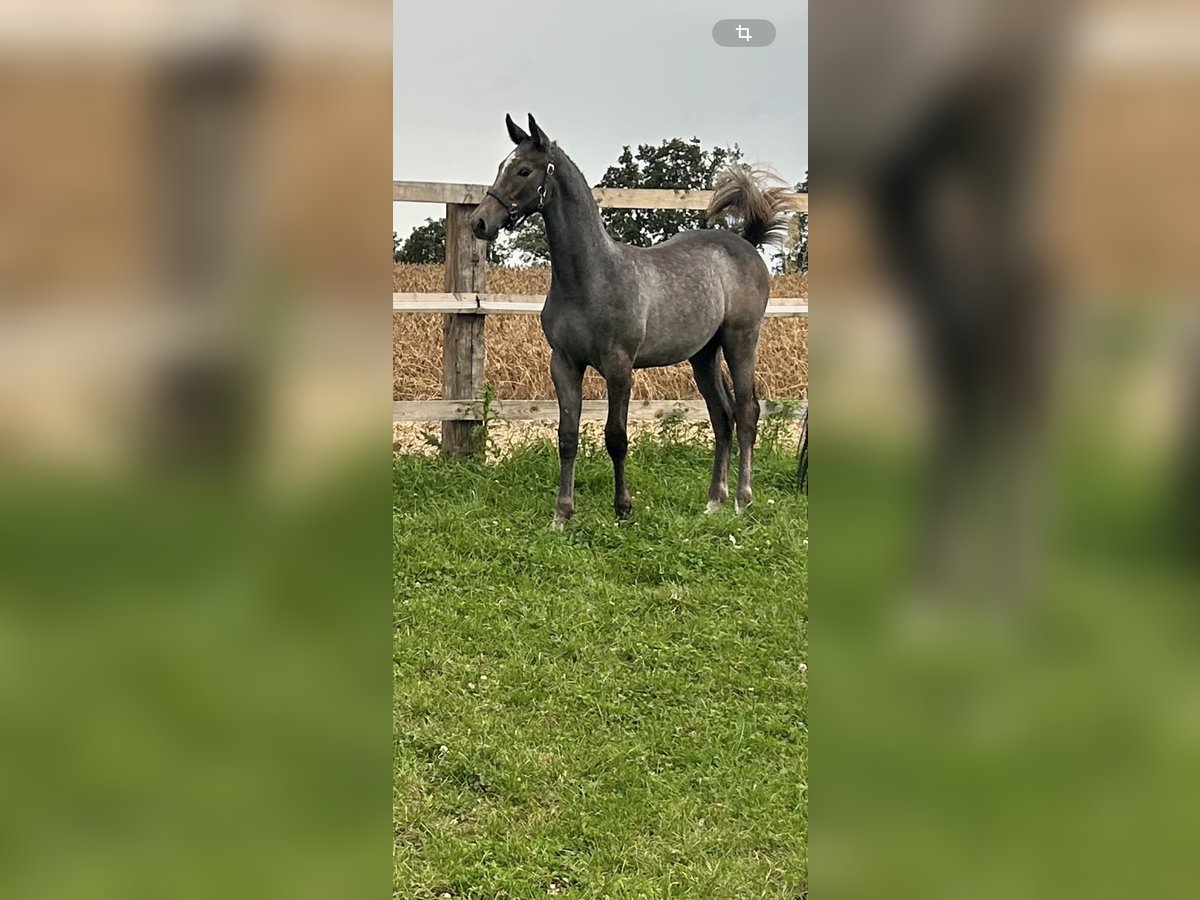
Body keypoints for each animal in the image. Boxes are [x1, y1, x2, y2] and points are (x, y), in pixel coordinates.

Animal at [472, 116, 801, 532]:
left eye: (524, 170)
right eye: (503, 165)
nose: (480, 222)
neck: (589, 277)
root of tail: (747, 244)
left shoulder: (619, 366)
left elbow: (616, 437)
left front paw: (623, 508)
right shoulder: (564, 363)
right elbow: (567, 436)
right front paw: (562, 514)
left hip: (741, 340)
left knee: (746, 412)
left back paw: (743, 499)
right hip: (703, 356)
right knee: (721, 417)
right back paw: (714, 501)